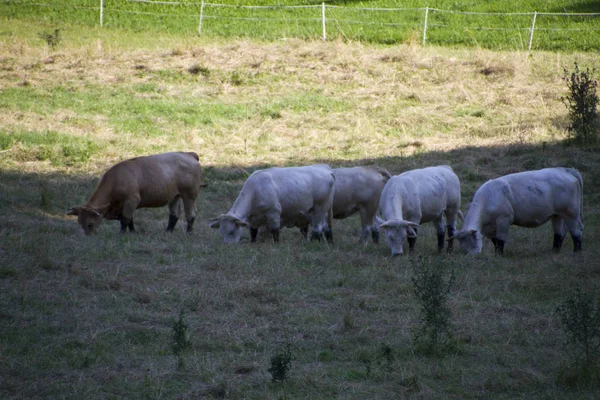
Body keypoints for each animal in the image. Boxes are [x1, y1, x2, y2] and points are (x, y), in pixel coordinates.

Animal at [67, 152, 205, 234]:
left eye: (90, 224)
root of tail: (188, 154)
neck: (117, 179)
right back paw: (168, 231)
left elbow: (125, 219)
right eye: (80, 223)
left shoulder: (131, 200)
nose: (88, 236)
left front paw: (122, 234)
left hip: (189, 195)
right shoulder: (126, 204)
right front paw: (132, 232)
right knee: (174, 214)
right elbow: (130, 220)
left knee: (190, 214)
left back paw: (188, 232)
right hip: (174, 196)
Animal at [452, 167, 584, 255]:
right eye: (463, 247)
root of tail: (566, 171)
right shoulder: (490, 228)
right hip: (557, 215)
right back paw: (554, 251)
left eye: (473, 242)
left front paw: (499, 256)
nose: (472, 256)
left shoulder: (504, 220)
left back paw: (577, 251)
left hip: (571, 213)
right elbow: (495, 241)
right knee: (559, 234)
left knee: (576, 231)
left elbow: (500, 240)